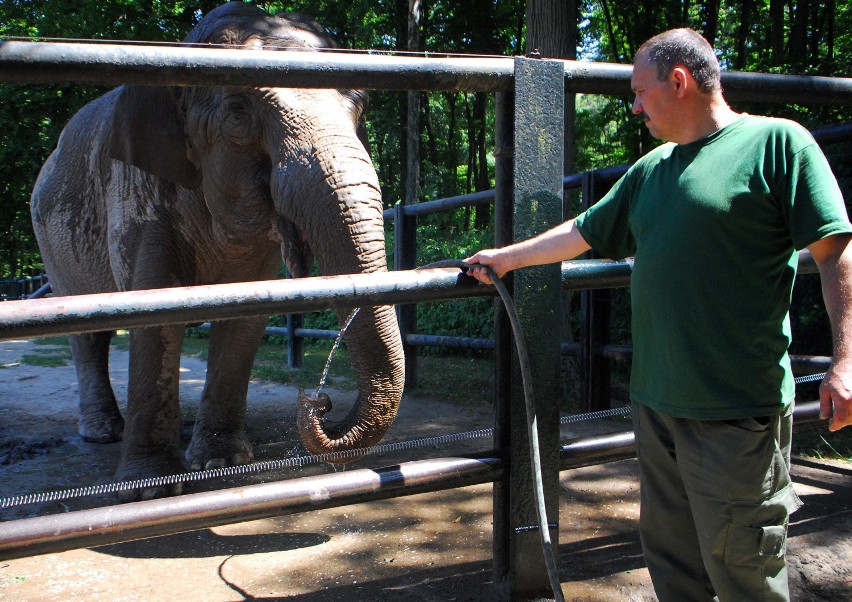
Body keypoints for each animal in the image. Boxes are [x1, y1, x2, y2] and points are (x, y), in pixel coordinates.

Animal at [30, 1, 406, 496]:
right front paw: (150, 488)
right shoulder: (136, 192)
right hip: (50, 237)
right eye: (238, 111)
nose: (316, 401)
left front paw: (221, 462)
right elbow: (152, 306)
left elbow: (248, 313)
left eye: (359, 106)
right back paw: (103, 433)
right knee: (85, 329)